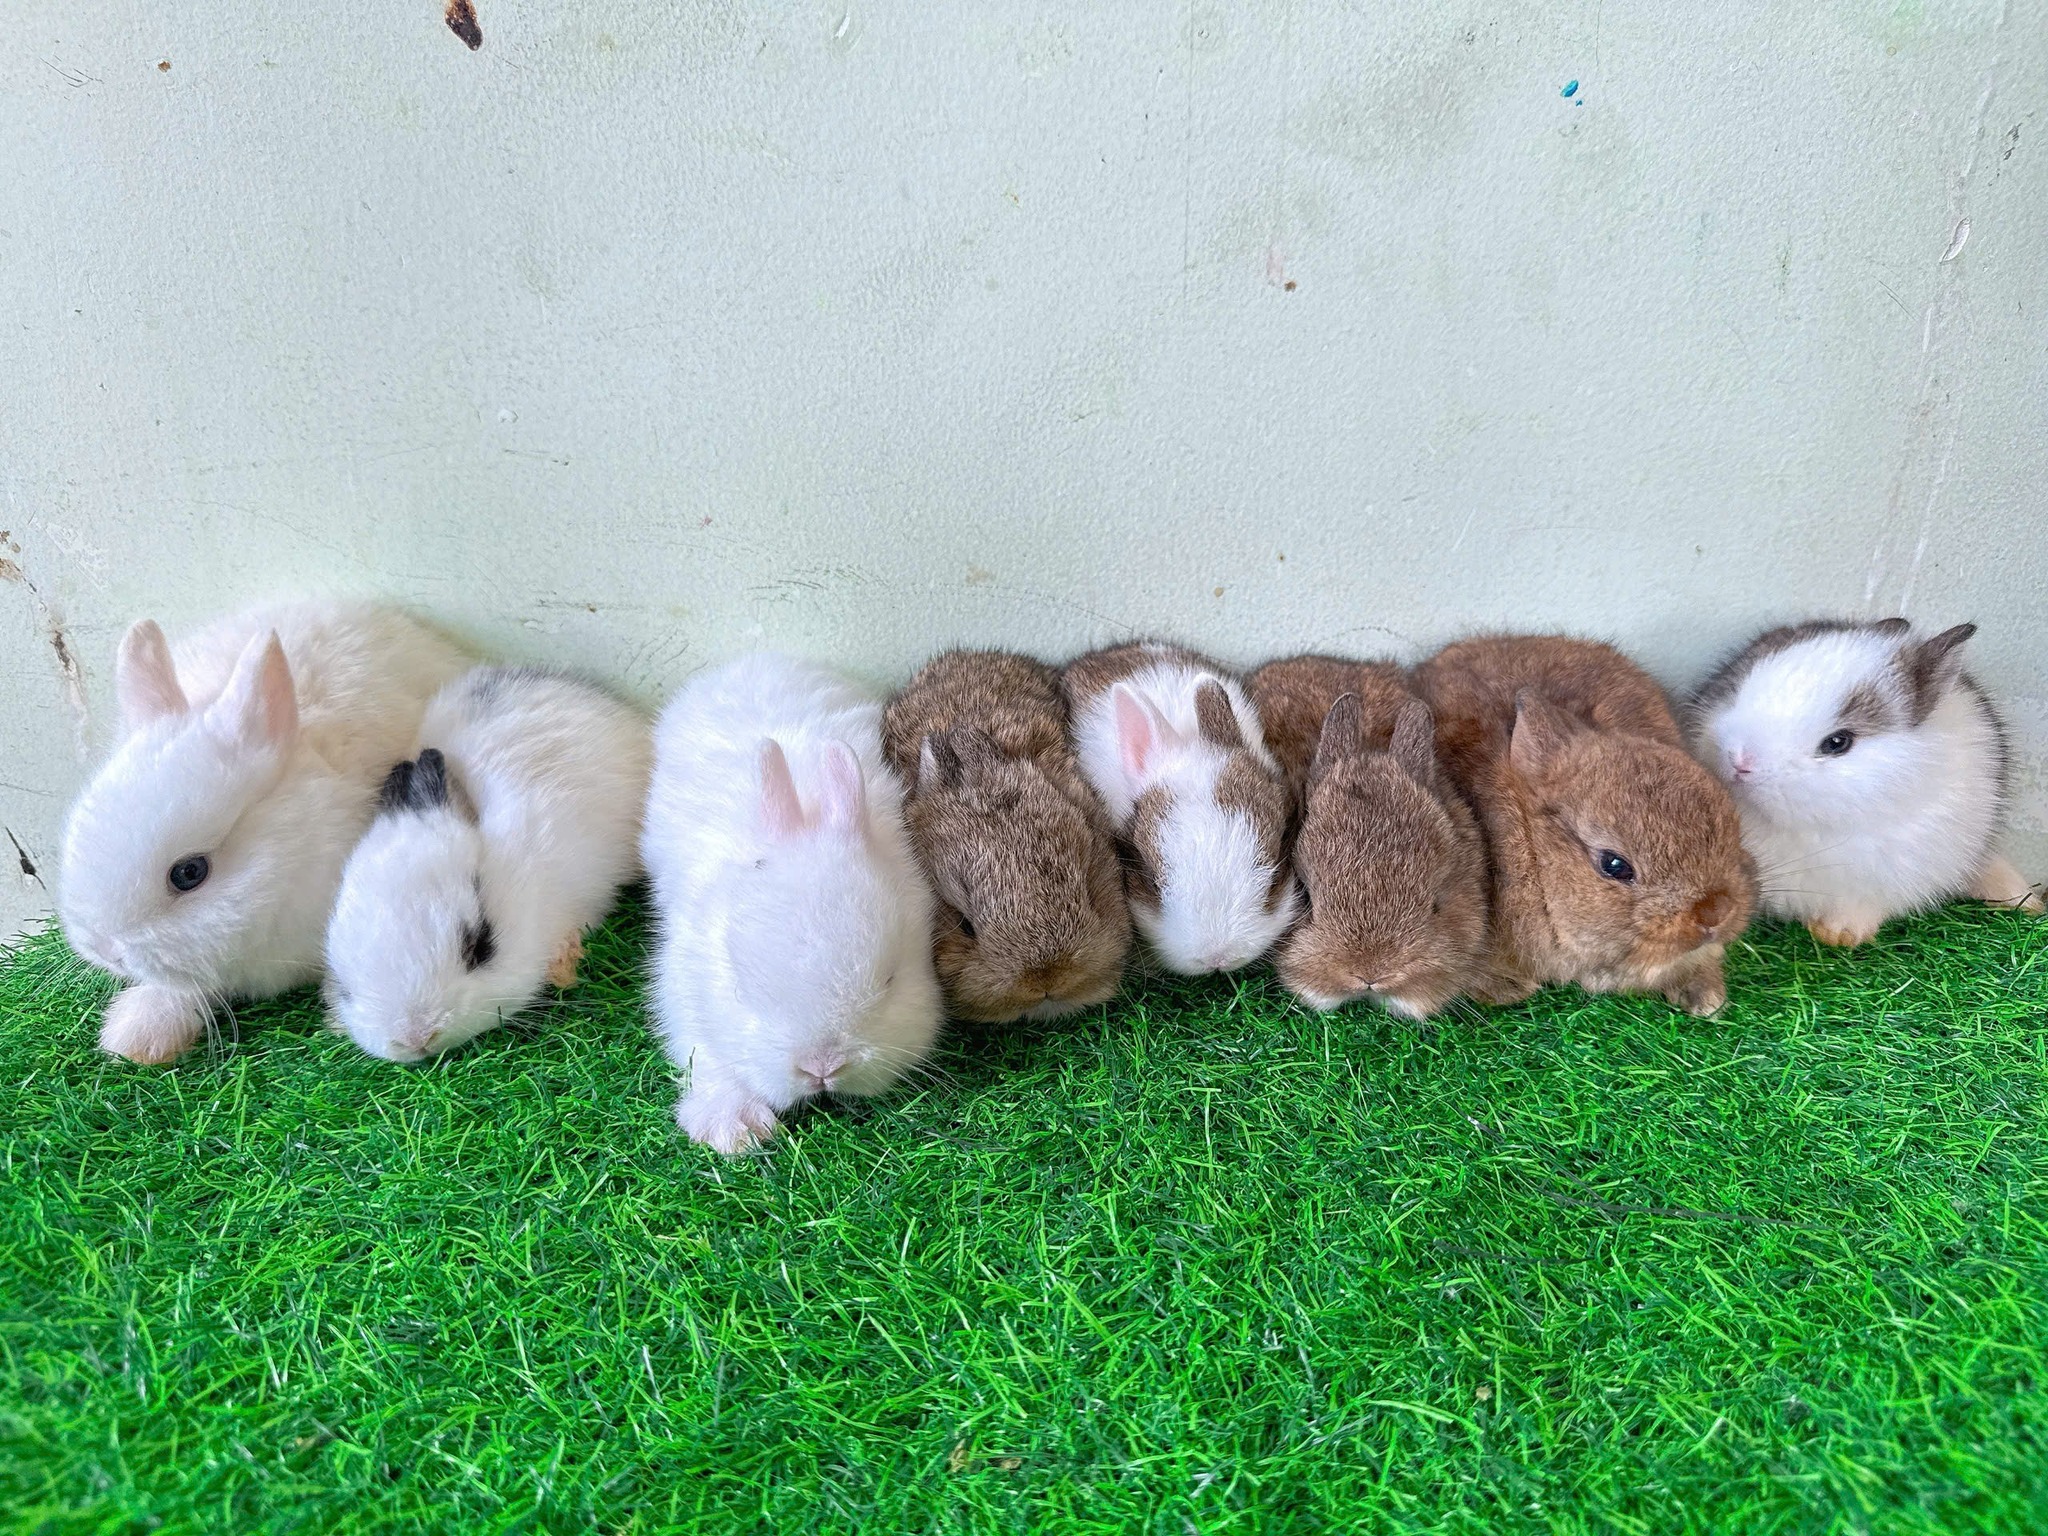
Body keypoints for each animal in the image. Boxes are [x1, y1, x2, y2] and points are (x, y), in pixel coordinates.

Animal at [641, 653, 942, 1155]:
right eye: (740, 989)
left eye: (890, 979)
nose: (822, 1068)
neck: (806, 817)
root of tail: (758, 659)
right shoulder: (683, 980)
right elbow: (704, 1050)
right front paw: (733, 1128)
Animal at [1413, 635, 1755, 1016]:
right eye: (1614, 865)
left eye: (1732, 821)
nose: (1716, 913)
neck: (1533, 848)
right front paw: (1507, 989)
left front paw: (1705, 996)